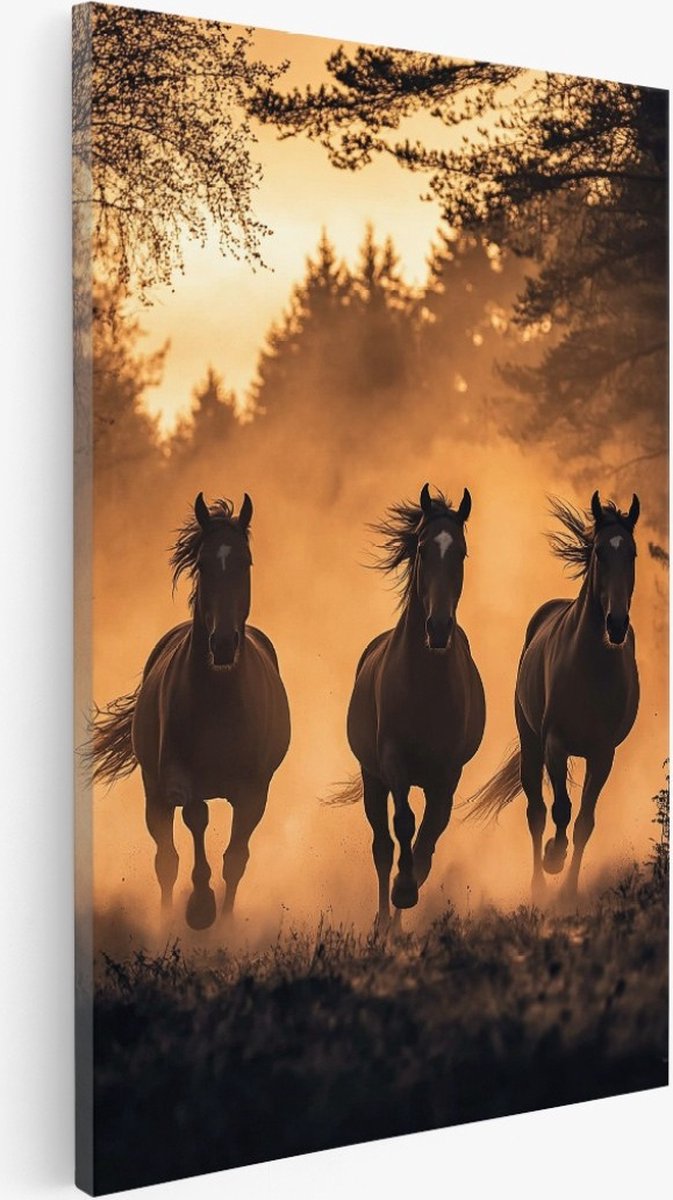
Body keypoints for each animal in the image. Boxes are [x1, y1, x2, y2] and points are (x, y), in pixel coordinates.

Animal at [86, 492, 291, 929]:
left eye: (245, 561)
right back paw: (166, 917)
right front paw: (200, 906)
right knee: (166, 858)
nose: (224, 644)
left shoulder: (254, 790)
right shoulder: (175, 778)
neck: (219, 698)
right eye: (203, 563)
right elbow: (196, 815)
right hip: (153, 791)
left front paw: (223, 921)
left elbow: (236, 858)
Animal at [331, 483, 486, 930]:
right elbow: (403, 826)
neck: (425, 686)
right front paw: (402, 892)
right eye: (422, 547)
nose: (438, 628)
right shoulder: (392, 763)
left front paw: (411, 889)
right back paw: (385, 921)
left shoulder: (448, 774)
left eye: (461, 552)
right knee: (382, 846)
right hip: (372, 779)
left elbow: (428, 839)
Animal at [466, 491, 640, 905]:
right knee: (536, 810)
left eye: (632, 554)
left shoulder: (602, 753)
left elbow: (584, 822)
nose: (616, 624)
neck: (591, 667)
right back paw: (538, 884)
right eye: (599, 552)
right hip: (532, 744)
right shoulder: (556, 744)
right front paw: (553, 858)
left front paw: (570, 891)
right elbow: (560, 810)